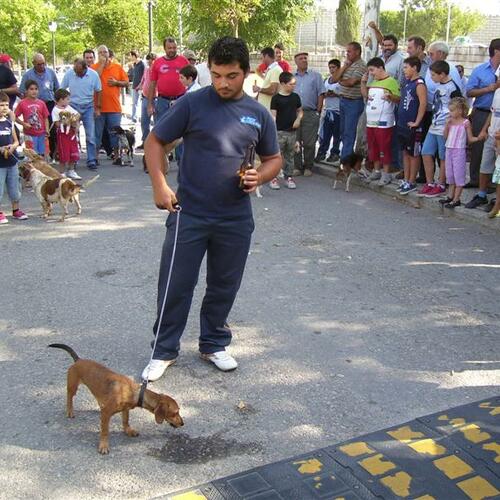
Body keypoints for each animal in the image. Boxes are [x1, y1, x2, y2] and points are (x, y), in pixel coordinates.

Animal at [47, 346, 185, 456]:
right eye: (175, 413)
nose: (182, 423)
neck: (136, 393)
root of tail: (79, 360)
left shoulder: (125, 409)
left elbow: (125, 421)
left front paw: (128, 431)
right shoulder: (106, 414)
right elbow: (105, 431)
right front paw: (103, 446)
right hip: (73, 386)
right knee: (69, 397)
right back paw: (70, 411)